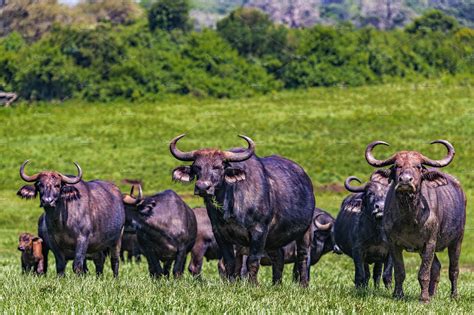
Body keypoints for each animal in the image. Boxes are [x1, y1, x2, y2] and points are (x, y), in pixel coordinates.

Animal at [169, 135, 314, 288]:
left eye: (218, 167)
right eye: (197, 167)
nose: (202, 187)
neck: (230, 205)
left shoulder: (259, 231)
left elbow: (252, 260)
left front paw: (253, 284)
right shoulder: (220, 233)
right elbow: (230, 262)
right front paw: (232, 283)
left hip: (305, 230)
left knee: (303, 256)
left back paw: (303, 285)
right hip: (274, 237)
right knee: (278, 256)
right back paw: (276, 284)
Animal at [366, 141, 466, 304]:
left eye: (418, 166)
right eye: (397, 166)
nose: (405, 180)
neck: (409, 218)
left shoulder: (430, 242)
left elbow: (423, 272)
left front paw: (423, 299)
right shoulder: (394, 244)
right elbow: (400, 271)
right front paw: (398, 295)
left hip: (457, 240)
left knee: (454, 269)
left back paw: (454, 296)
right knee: (436, 267)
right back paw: (432, 294)